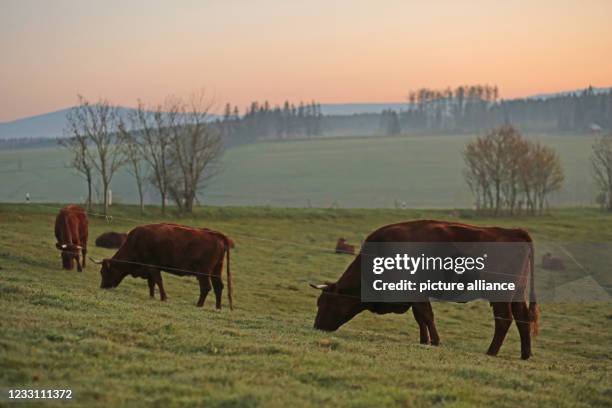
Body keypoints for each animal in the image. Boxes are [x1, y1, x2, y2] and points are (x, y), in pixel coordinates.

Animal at [91, 223, 234, 310]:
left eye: (104, 272)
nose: (102, 287)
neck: (135, 242)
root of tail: (218, 235)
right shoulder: (150, 269)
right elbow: (152, 283)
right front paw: (152, 296)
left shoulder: (152, 266)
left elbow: (158, 282)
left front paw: (163, 298)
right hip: (216, 270)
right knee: (218, 287)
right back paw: (218, 307)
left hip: (203, 272)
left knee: (206, 287)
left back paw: (199, 305)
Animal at [310, 220, 540, 360]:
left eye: (328, 302)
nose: (317, 327)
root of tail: (515, 232)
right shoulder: (415, 296)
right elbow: (420, 318)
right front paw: (424, 340)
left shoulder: (417, 293)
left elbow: (427, 316)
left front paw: (435, 342)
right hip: (517, 294)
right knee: (522, 319)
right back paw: (525, 354)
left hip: (500, 295)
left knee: (504, 320)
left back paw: (491, 352)